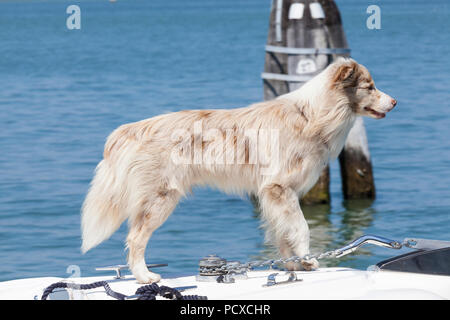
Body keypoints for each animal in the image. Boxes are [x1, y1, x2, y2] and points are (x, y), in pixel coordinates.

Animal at [81, 57, 398, 282]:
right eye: (369, 87)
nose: (395, 101)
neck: (313, 115)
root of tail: (130, 130)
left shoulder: (274, 195)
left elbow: (282, 233)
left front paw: (293, 266)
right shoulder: (279, 188)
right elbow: (301, 228)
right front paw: (308, 259)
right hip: (160, 199)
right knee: (135, 239)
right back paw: (145, 277)